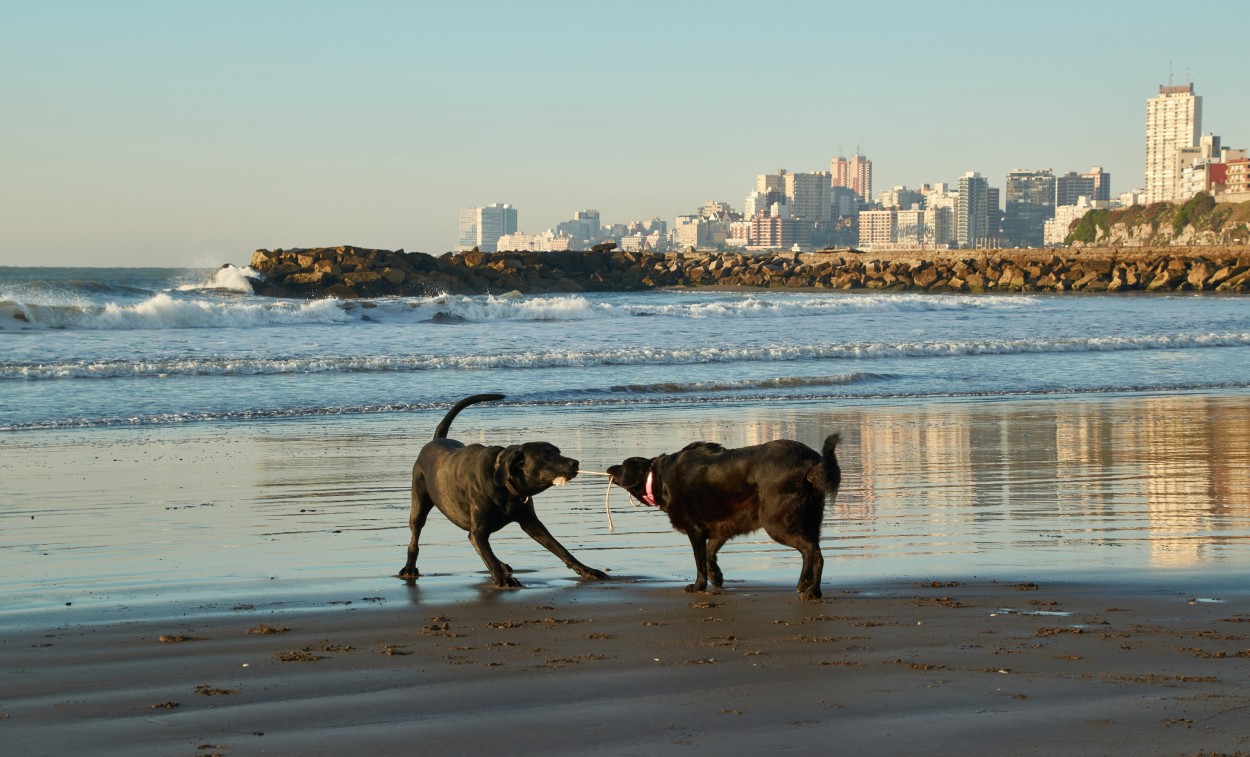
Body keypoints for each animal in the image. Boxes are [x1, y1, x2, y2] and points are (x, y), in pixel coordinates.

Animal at [397, 394, 607, 589]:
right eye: (547, 455)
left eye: (558, 451)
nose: (575, 462)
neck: (505, 487)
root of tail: (436, 440)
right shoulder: (478, 531)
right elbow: (486, 553)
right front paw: (503, 579)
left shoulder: (531, 522)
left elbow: (560, 549)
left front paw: (587, 570)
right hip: (419, 502)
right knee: (415, 537)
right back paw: (409, 567)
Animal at [605, 437, 840, 602]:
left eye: (622, 465)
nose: (609, 467)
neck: (660, 478)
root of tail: (812, 462)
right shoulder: (724, 526)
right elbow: (710, 553)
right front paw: (716, 577)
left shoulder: (694, 529)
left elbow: (700, 560)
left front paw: (699, 585)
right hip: (809, 521)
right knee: (813, 553)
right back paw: (809, 587)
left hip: (777, 522)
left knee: (812, 552)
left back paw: (810, 588)